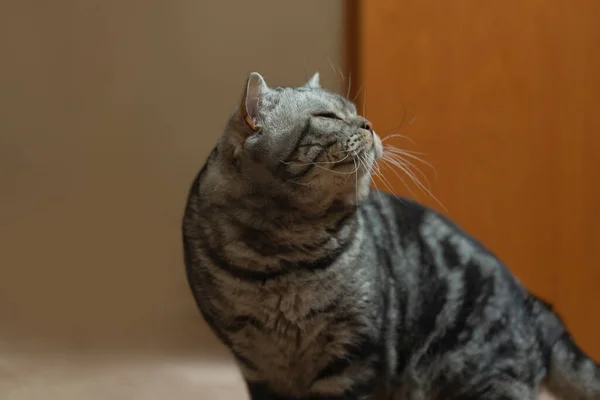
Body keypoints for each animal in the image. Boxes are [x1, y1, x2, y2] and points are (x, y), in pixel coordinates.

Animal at [183, 72, 600, 400]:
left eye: (354, 110)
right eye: (327, 117)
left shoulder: (352, 357)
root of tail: (536, 307)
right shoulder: (257, 364)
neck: (284, 255)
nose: (368, 123)